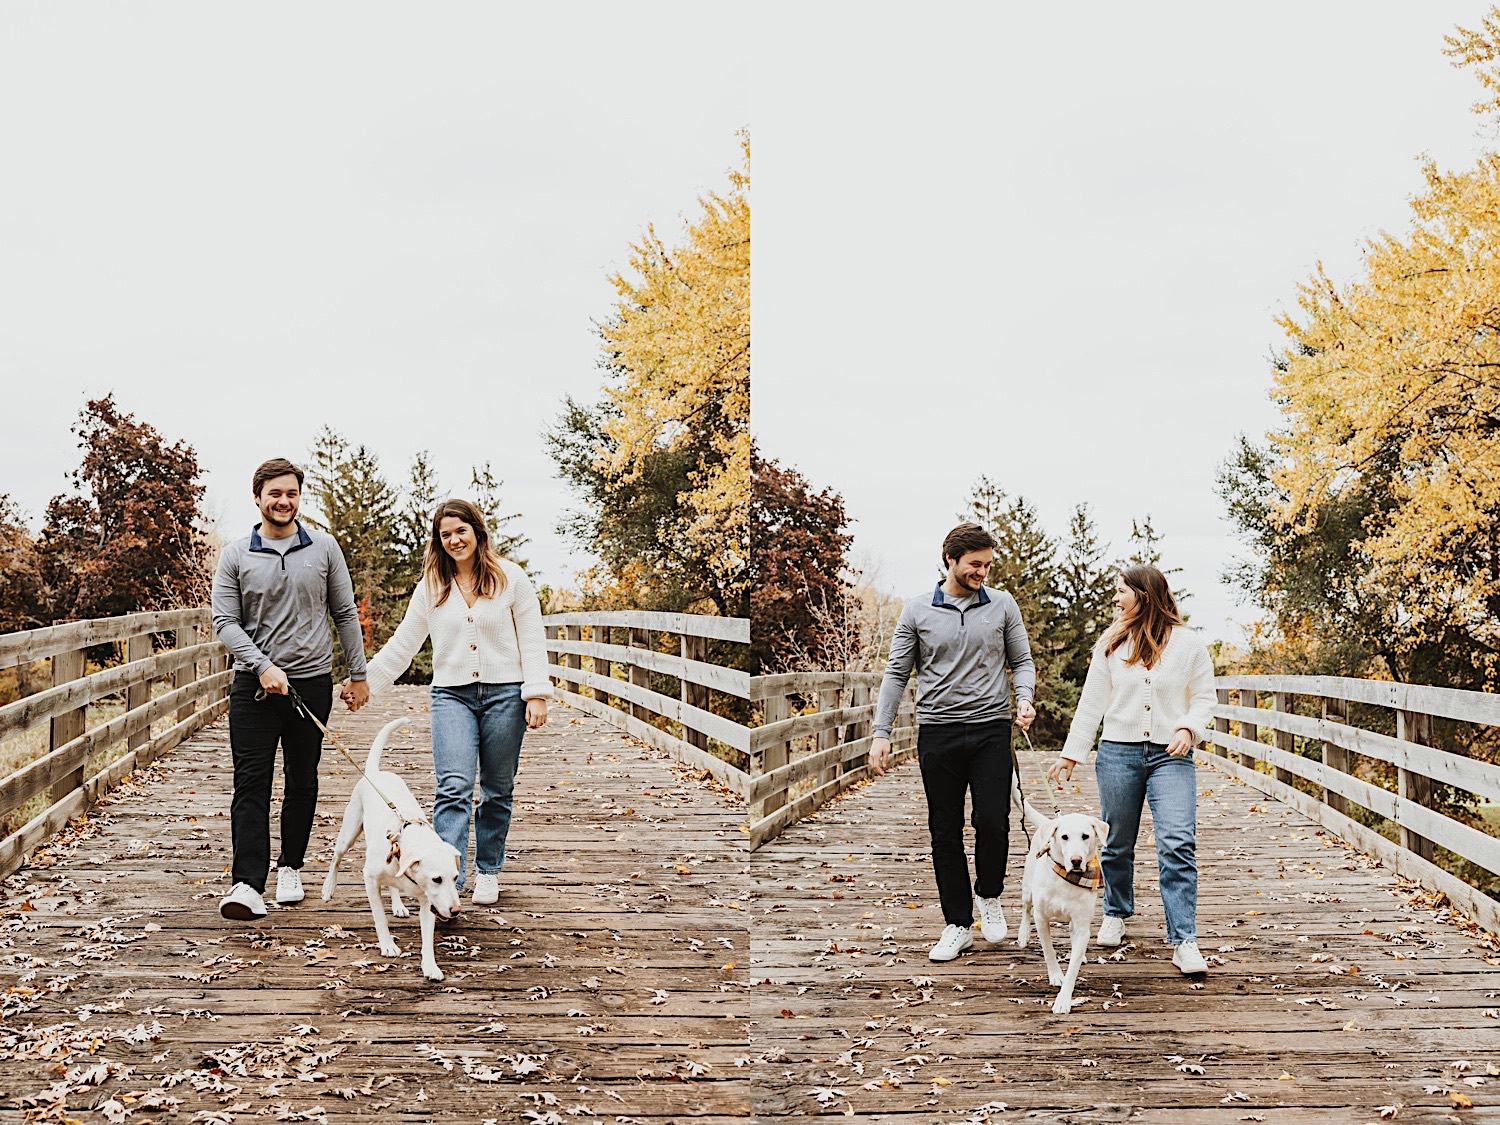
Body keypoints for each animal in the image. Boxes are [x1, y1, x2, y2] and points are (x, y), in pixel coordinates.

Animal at [316, 717, 456, 984]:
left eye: (455, 878)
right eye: (437, 879)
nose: (455, 910)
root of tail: (374, 773)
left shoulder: (427, 901)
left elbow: (427, 937)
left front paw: (430, 966)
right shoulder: (370, 880)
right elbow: (379, 917)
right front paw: (388, 945)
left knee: (392, 884)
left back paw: (398, 904)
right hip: (348, 833)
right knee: (336, 858)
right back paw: (328, 887)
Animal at [1014, 816, 1110, 1020]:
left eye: (1085, 836)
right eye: (1064, 837)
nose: (1076, 860)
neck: (1066, 876)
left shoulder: (1082, 926)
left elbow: (1073, 968)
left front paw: (1063, 1000)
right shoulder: (1041, 918)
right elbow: (1049, 951)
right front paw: (1056, 976)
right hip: (1027, 887)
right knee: (1026, 907)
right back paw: (1023, 934)